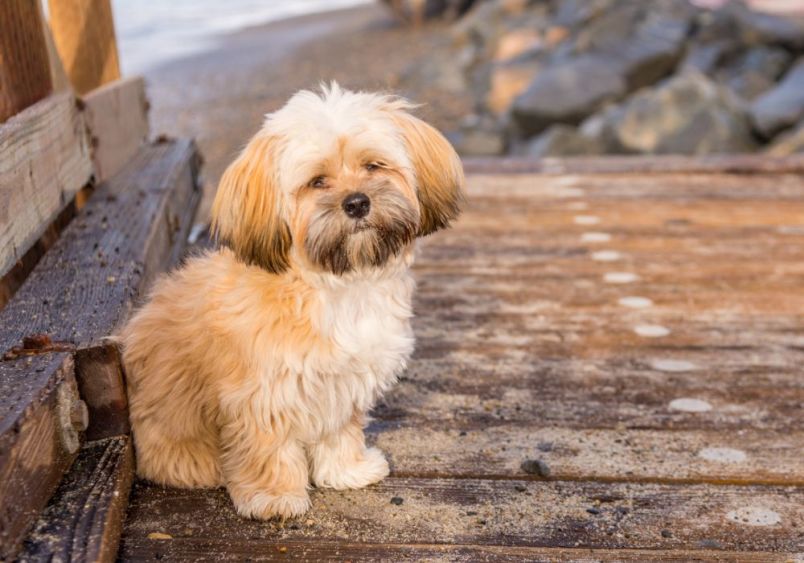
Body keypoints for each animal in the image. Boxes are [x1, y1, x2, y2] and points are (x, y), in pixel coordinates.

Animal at [116, 82, 462, 520]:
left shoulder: (340, 383)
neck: (336, 285)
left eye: (373, 166)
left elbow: (338, 430)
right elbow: (269, 447)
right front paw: (275, 496)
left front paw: (347, 470)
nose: (357, 203)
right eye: (317, 182)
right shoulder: (263, 393)